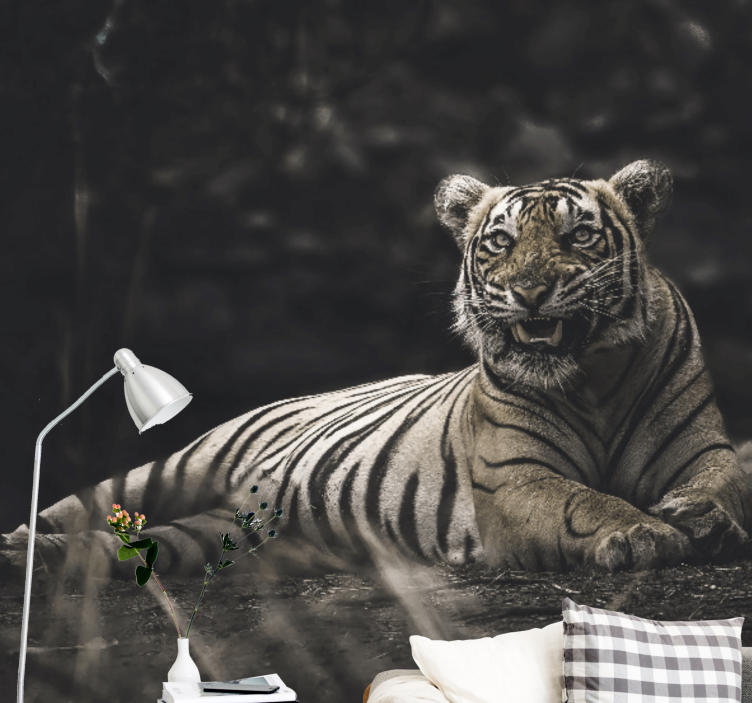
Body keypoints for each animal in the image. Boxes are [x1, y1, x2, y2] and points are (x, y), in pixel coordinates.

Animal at [3, 159, 751, 575]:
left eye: (580, 235)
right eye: (500, 243)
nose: (530, 290)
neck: (592, 382)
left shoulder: (703, 449)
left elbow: (723, 483)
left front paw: (700, 518)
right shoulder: (515, 479)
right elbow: (583, 501)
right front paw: (646, 532)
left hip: (215, 535)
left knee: (135, 545)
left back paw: (42, 560)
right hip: (177, 463)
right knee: (83, 502)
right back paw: (19, 545)